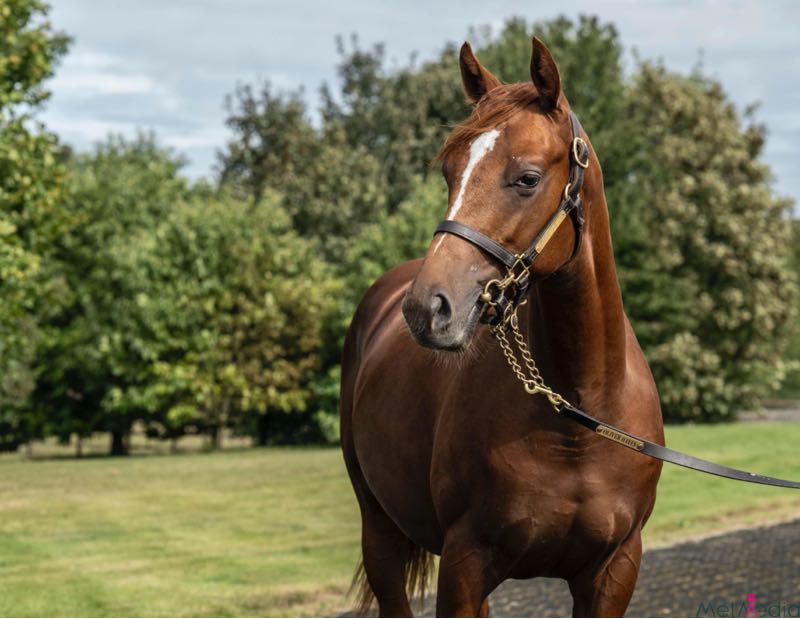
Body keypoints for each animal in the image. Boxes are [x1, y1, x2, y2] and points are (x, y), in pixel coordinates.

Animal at [339, 37, 664, 617]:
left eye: (527, 178)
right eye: (449, 172)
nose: (427, 309)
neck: (576, 416)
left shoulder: (614, 569)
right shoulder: (465, 565)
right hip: (379, 534)